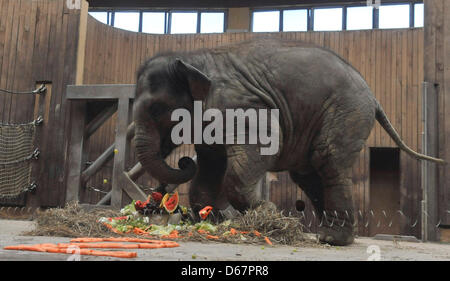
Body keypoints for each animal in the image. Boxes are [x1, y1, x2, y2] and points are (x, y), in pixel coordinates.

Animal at [132, 38, 444, 244]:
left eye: (157, 110)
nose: (183, 161)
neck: (193, 60)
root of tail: (373, 96)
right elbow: (211, 164)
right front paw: (214, 221)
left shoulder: (242, 106)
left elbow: (260, 148)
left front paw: (266, 213)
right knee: (308, 173)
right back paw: (326, 234)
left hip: (347, 111)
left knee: (328, 161)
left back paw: (332, 239)